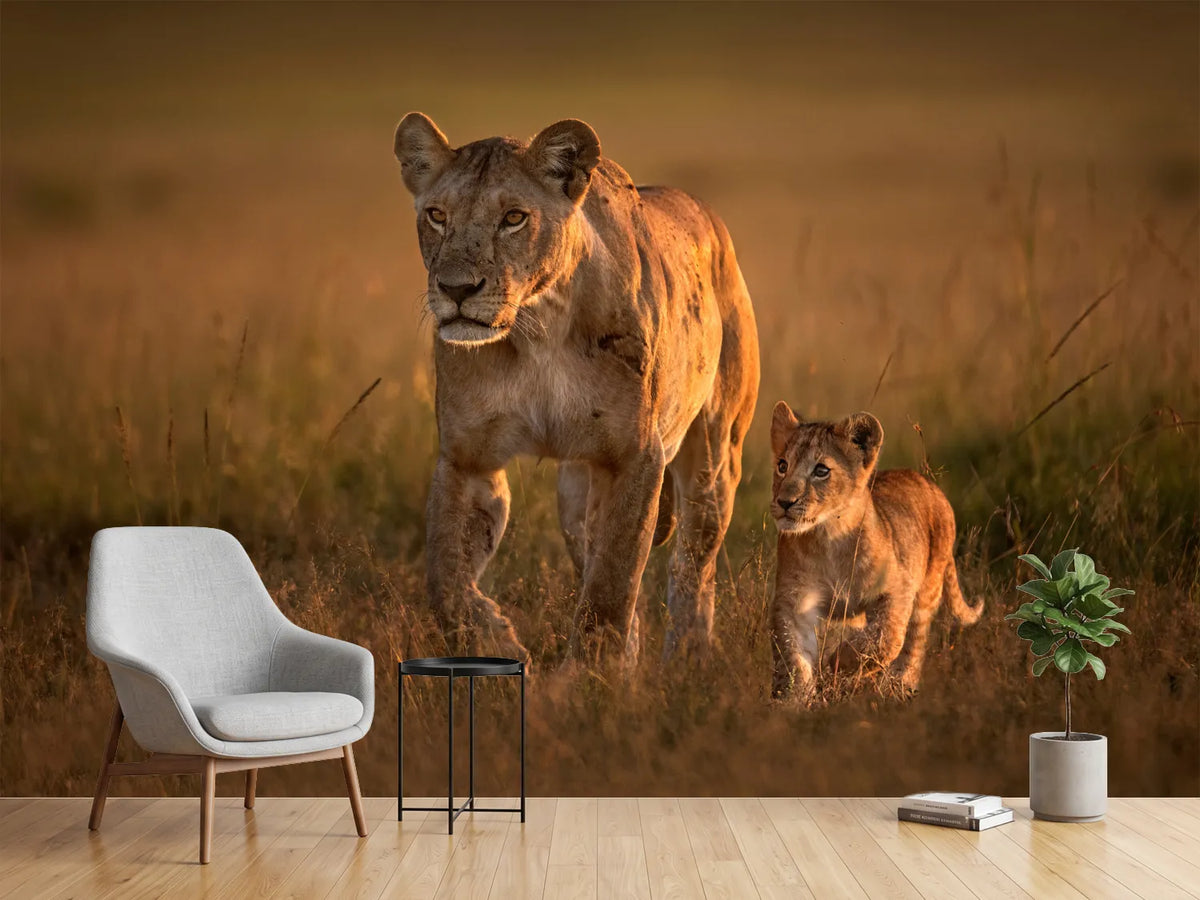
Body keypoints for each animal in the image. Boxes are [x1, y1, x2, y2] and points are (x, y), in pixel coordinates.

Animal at [393, 113, 760, 664]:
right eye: (437, 215)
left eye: (514, 218)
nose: (456, 289)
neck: (537, 328)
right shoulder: (466, 458)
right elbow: (446, 580)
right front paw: (494, 639)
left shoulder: (635, 456)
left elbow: (611, 585)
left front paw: (592, 675)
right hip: (574, 494)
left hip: (715, 458)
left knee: (694, 567)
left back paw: (686, 662)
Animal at [767, 403, 982, 699]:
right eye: (782, 465)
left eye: (821, 471)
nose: (785, 502)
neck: (828, 537)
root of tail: (928, 483)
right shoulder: (795, 600)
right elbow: (794, 656)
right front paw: (793, 699)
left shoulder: (898, 588)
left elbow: (886, 637)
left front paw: (838, 662)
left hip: (928, 589)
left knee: (913, 645)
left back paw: (899, 687)